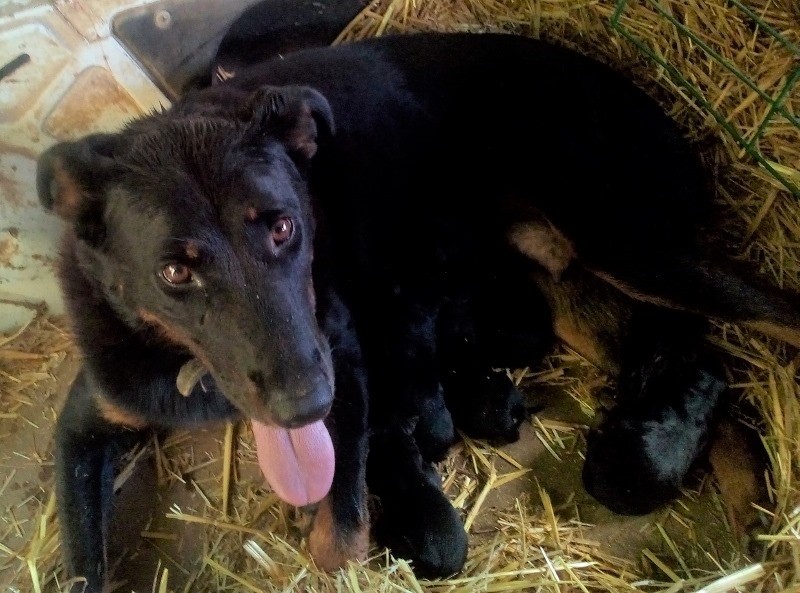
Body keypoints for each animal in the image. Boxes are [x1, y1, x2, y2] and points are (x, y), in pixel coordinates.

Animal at [37, 33, 800, 588]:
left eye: (284, 227)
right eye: (174, 272)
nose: (306, 404)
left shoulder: (344, 366)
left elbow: (339, 538)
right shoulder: (85, 425)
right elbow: (82, 566)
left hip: (634, 247)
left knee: (767, 316)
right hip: (577, 291)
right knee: (699, 367)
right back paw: (747, 503)